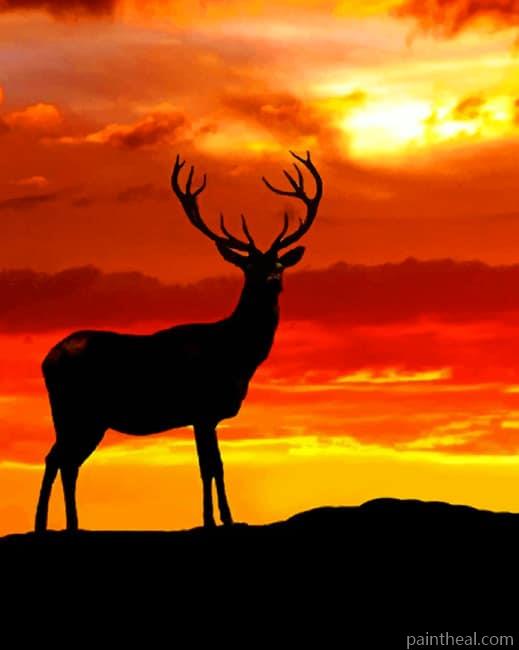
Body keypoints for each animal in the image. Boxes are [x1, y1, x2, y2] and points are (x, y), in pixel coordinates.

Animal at [34, 150, 322, 532]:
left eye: (279, 264)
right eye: (249, 267)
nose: (273, 281)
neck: (235, 355)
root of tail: (47, 360)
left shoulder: (207, 415)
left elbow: (214, 466)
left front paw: (220, 518)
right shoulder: (202, 408)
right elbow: (209, 467)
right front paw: (217, 520)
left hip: (83, 416)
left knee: (65, 461)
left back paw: (67, 524)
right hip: (78, 409)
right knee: (58, 458)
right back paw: (48, 523)